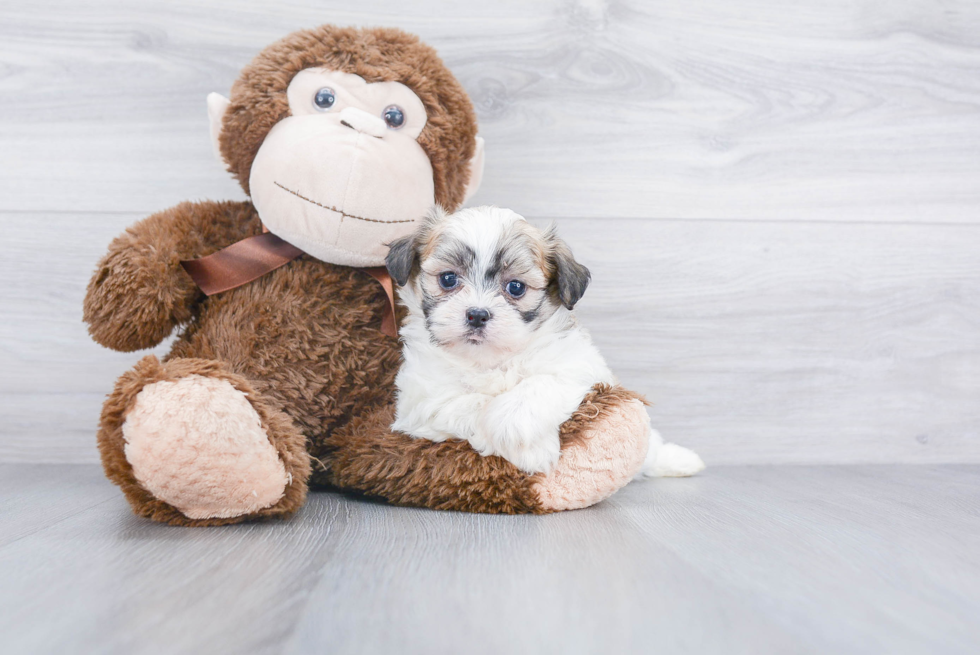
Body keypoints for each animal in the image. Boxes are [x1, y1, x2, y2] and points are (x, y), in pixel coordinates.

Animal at [384, 208, 704, 480]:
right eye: (448, 279)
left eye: (516, 287)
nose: (477, 314)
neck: (489, 360)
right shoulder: (419, 402)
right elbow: (470, 402)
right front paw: (533, 451)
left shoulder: (582, 368)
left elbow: (541, 383)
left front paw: (516, 427)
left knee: (651, 448)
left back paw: (677, 460)